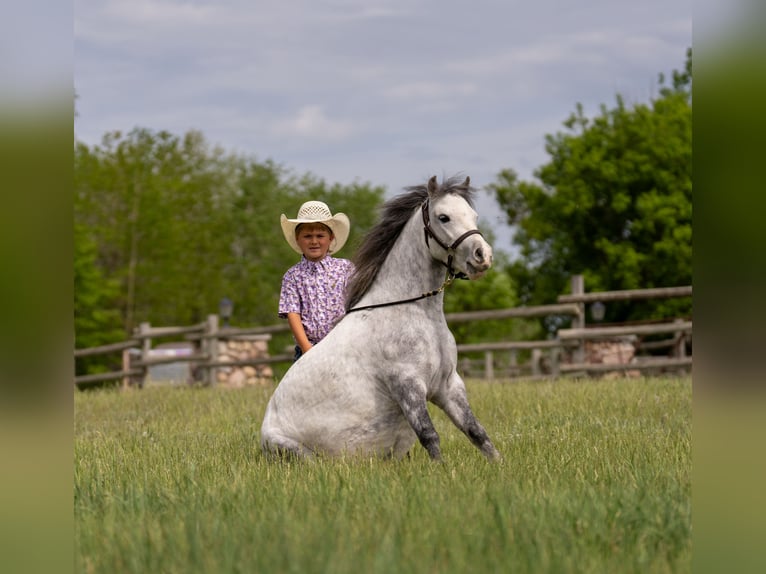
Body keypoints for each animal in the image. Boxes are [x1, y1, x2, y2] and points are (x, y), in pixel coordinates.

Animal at [260, 175, 501, 462]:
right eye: (444, 217)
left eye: (473, 216)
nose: (483, 256)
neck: (416, 314)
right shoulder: (406, 385)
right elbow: (429, 435)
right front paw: (442, 470)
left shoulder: (448, 385)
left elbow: (476, 431)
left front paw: (499, 465)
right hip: (293, 450)